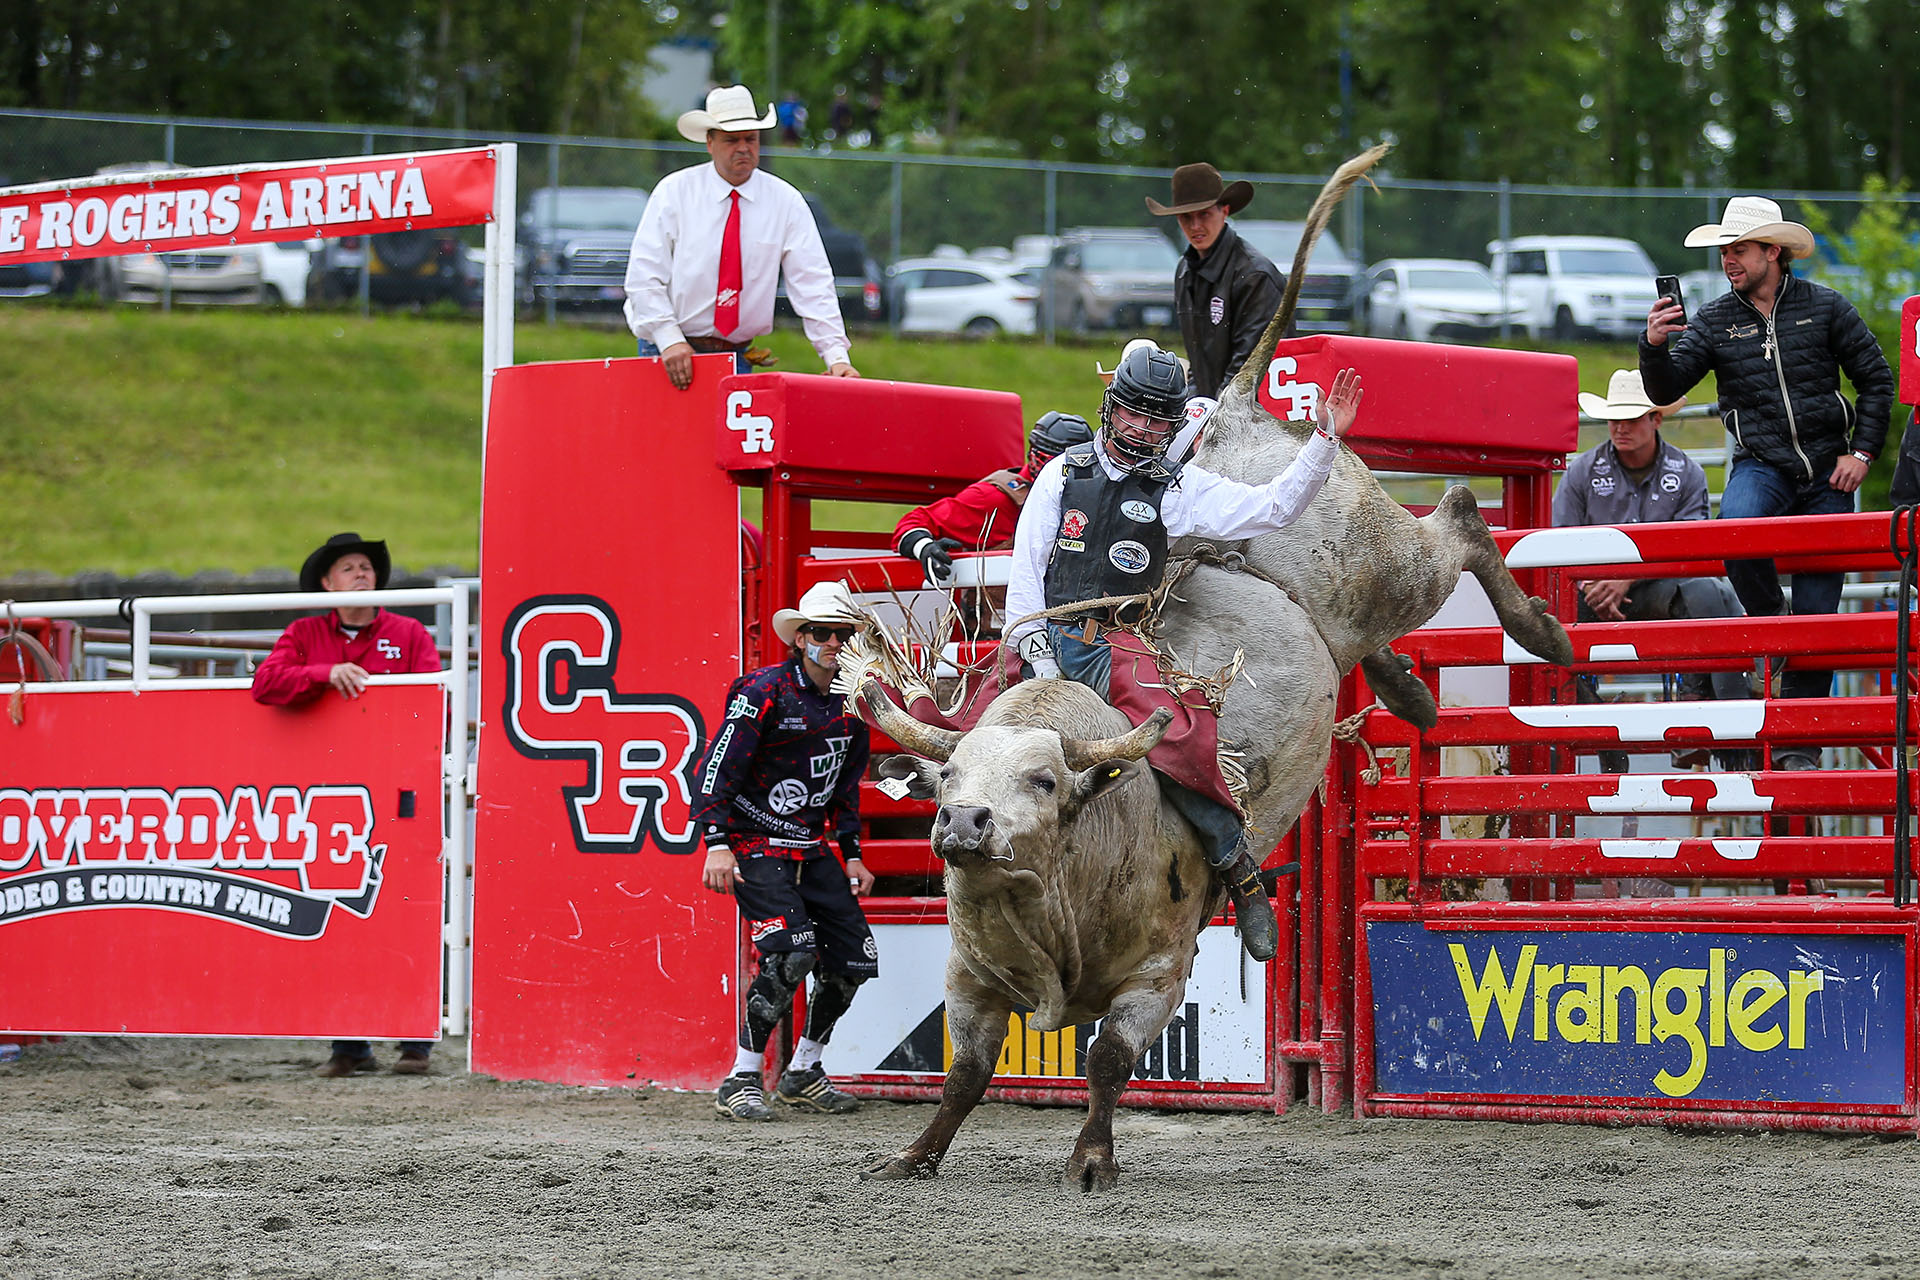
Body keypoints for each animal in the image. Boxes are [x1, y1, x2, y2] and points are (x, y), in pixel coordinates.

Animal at [858, 146, 1571, 1191]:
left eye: (1042, 780)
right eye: (947, 775)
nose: (963, 823)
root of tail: (1230, 409)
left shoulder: (1160, 970)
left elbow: (1110, 1059)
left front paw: (1093, 1160)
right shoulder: (969, 976)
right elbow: (963, 1071)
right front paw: (915, 1154)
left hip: (1384, 566)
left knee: (1459, 517)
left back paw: (1540, 631)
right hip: (1343, 613)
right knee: (1382, 627)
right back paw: (1410, 694)